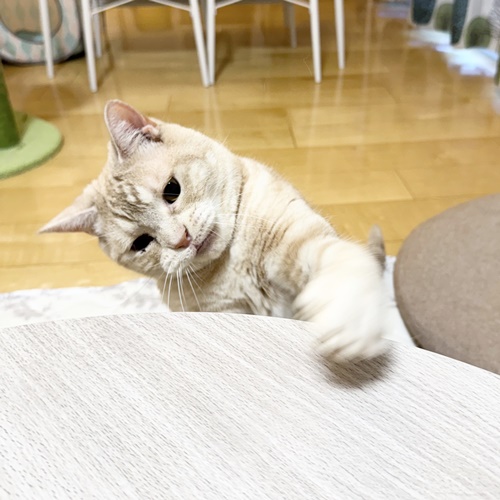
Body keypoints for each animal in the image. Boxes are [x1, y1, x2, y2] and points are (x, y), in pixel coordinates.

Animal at [40, 100, 389, 363]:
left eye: (172, 190)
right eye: (140, 243)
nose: (180, 238)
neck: (233, 263)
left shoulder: (298, 235)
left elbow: (341, 258)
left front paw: (348, 311)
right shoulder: (217, 312)